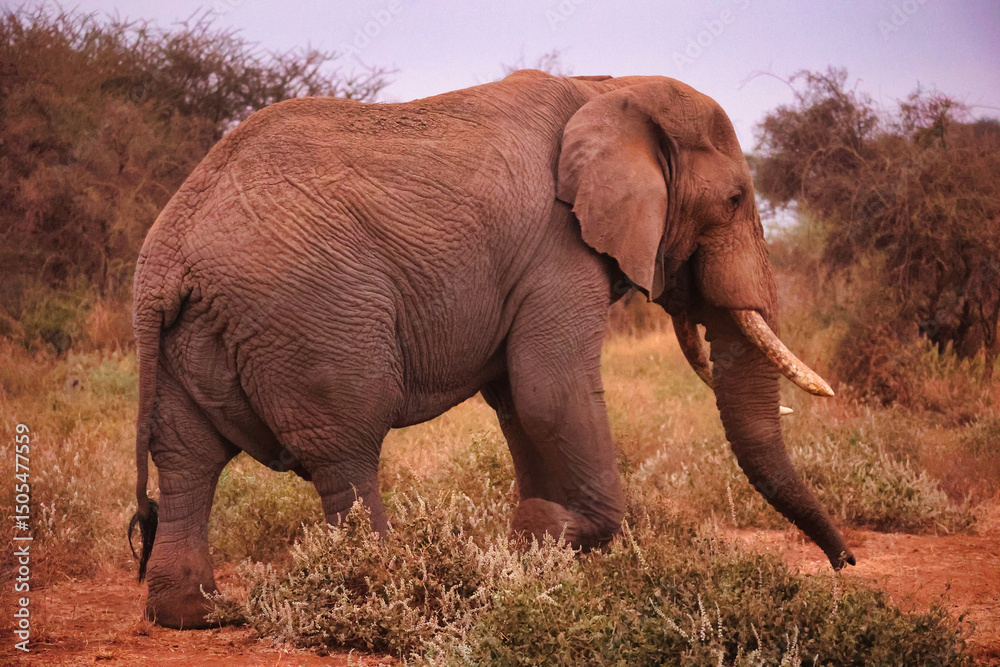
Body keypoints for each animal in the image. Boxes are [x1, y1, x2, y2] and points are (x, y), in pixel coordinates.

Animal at [127, 69, 854, 629]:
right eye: (733, 198)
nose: (845, 565)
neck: (608, 88)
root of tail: (168, 255)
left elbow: (518, 405)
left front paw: (538, 557)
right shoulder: (556, 249)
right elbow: (551, 393)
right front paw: (538, 531)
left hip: (194, 336)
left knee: (189, 459)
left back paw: (201, 613)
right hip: (312, 314)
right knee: (346, 449)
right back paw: (381, 592)